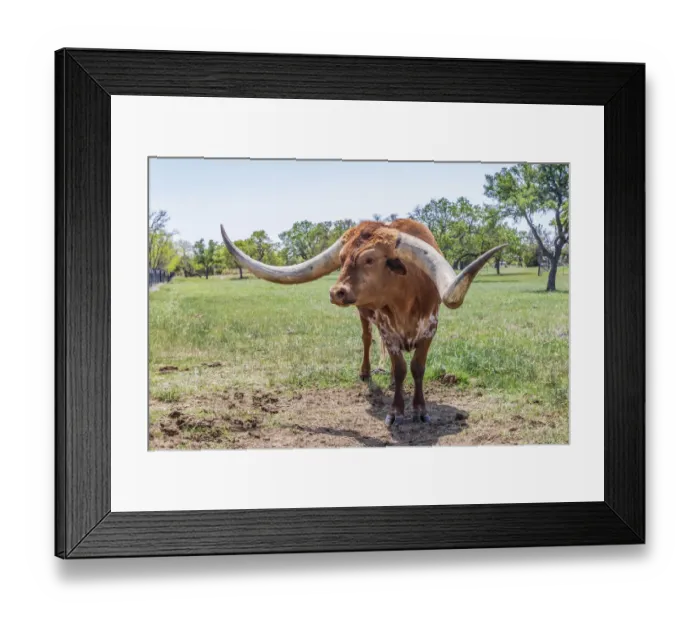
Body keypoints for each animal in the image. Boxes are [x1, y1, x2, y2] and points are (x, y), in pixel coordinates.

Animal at [221, 219, 505, 427]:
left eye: (369, 259)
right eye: (342, 258)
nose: (336, 292)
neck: (406, 298)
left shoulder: (430, 328)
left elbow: (417, 368)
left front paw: (420, 410)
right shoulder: (387, 329)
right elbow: (400, 367)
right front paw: (396, 411)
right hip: (364, 315)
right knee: (367, 339)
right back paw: (366, 372)